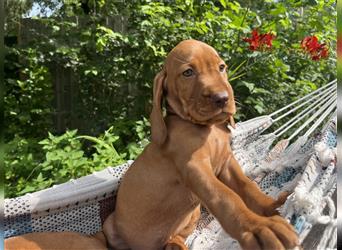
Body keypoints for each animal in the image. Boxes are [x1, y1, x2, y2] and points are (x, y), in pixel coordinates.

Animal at [104, 39, 300, 250]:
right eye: (188, 73)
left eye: (221, 68)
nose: (222, 98)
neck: (208, 129)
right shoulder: (195, 168)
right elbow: (226, 197)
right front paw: (258, 227)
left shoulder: (226, 163)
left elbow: (248, 186)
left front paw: (270, 206)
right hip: (110, 226)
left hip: (194, 214)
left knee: (175, 236)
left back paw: (175, 245)